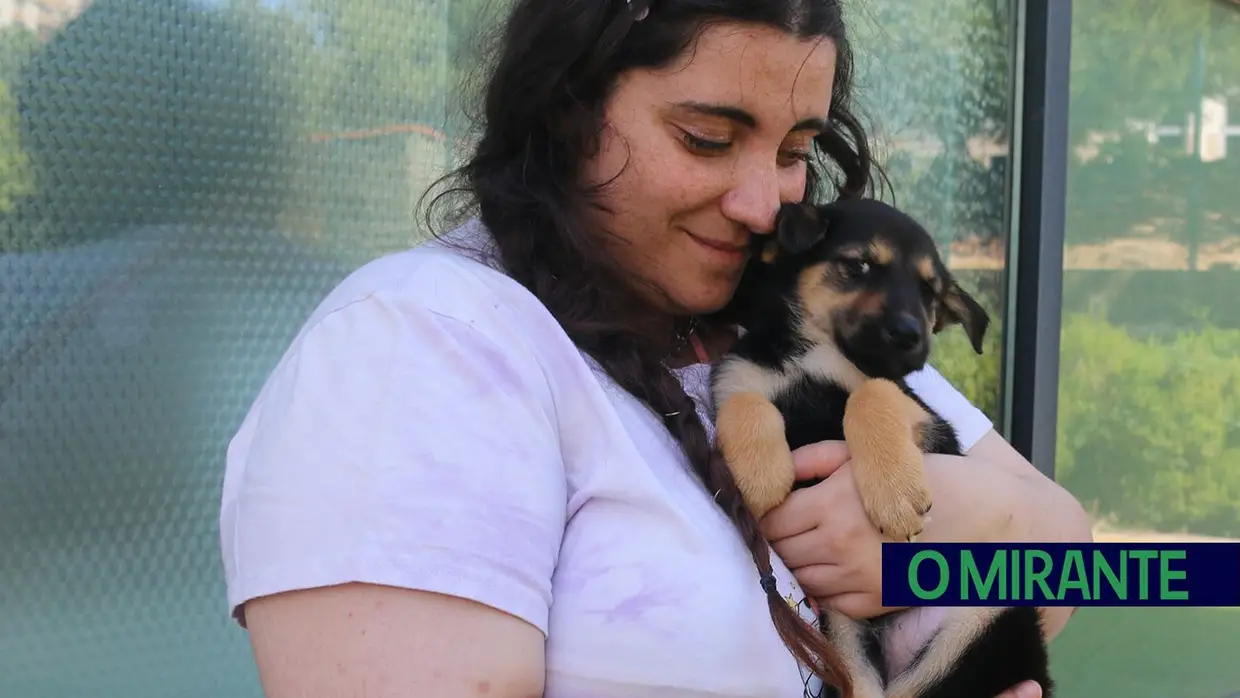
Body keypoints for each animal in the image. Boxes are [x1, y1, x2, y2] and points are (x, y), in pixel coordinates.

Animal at [714, 198, 1051, 698]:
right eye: (859, 265)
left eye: (929, 292)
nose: (912, 336)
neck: (814, 353)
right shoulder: (740, 374)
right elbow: (742, 399)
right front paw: (757, 477)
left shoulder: (932, 425)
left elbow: (872, 393)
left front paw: (894, 494)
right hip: (844, 641)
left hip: (983, 618)